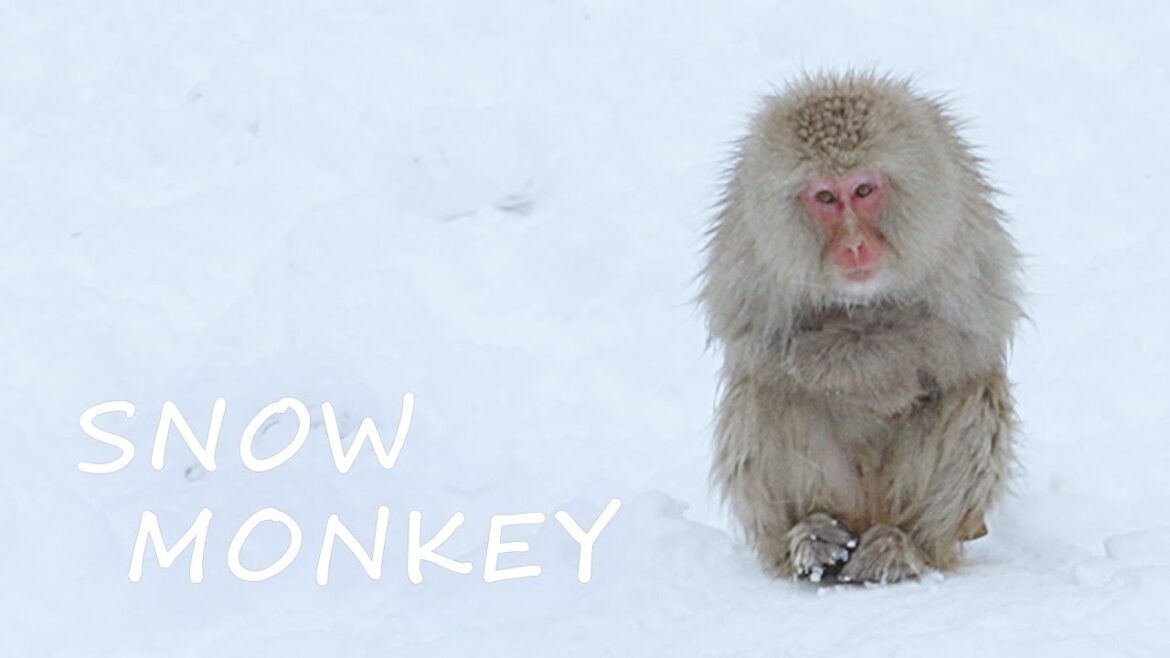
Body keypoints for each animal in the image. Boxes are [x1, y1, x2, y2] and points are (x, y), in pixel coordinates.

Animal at [700, 73, 1022, 584]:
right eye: (826, 198)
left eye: (865, 190)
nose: (854, 246)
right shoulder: (749, 240)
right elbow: (753, 341)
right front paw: (827, 356)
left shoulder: (957, 221)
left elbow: (969, 334)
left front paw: (857, 364)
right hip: (834, 493)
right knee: (764, 392)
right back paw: (811, 537)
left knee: (973, 388)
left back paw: (906, 546)